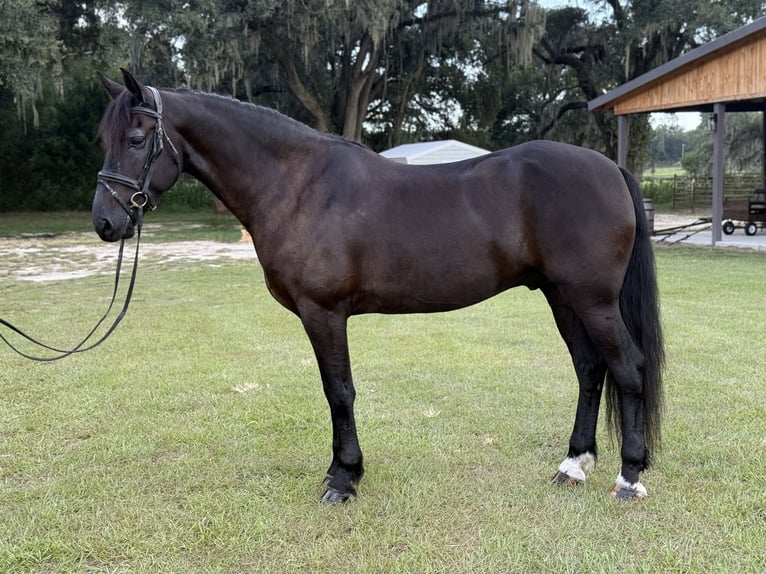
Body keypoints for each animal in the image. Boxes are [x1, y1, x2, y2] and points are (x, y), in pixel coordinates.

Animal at [93, 69, 664, 503]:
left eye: (137, 139)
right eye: (106, 139)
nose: (105, 222)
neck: (297, 185)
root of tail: (610, 167)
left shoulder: (323, 312)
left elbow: (339, 391)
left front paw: (343, 478)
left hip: (593, 300)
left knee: (628, 369)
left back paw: (628, 477)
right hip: (562, 297)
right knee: (590, 371)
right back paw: (573, 465)